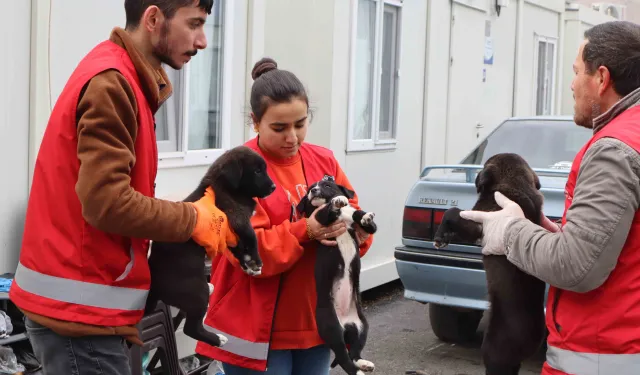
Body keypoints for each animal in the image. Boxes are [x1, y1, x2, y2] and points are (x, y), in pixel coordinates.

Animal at [146, 146, 276, 350]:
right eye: (257, 171)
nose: (273, 188)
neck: (229, 187)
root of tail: (155, 287)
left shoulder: (231, 235)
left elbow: (239, 249)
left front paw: (249, 265)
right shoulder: (238, 218)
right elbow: (252, 238)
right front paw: (256, 260)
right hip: (198, 293)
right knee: (191, 329)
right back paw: (218, 339)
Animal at [298, 176, 378, 375]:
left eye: (327, 185)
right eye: (310, 189)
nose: (314, 191)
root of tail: (345, 324)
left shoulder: (368, 228)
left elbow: (361, 218)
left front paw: (363, 216)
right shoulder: (319, 218)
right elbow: (330, 210)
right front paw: (337, 202)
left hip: (362, 327)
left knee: (354, 352)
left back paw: (364, 364)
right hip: (332, 329)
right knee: (343, 358)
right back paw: (358, 371)